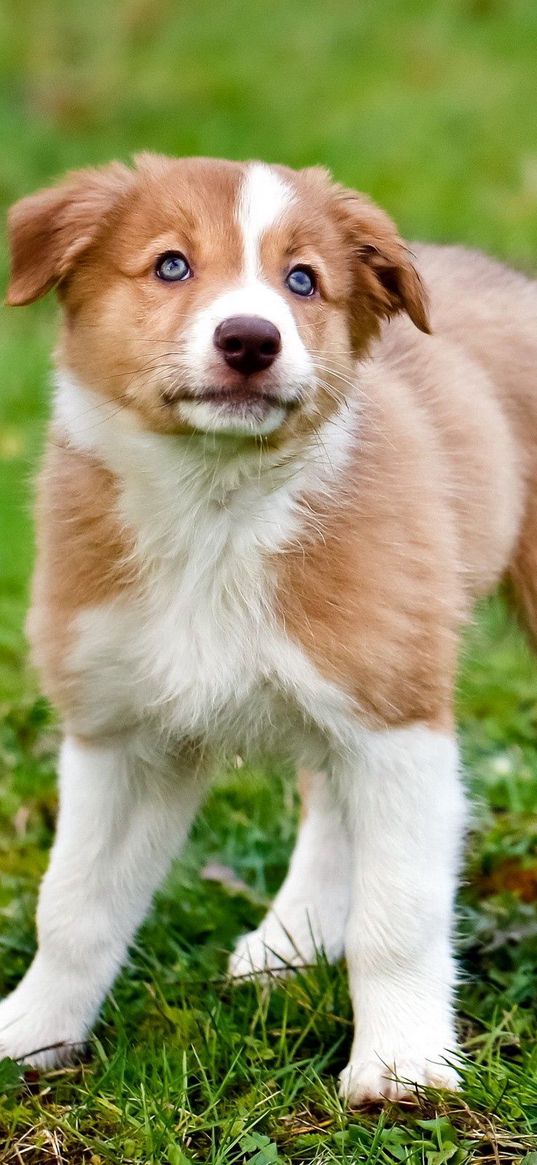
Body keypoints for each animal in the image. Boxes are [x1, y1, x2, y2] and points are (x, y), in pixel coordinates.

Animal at [2, 152, 533, 1099]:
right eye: (171, 264)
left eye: (302, 281)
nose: (250, 339)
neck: (214, 507)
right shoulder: (121, 730)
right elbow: (72, 904)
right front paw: (33, 1032)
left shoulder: (398, 718)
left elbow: (398, 915)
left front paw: (401, 1065)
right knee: (326, 795)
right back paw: (293, 936)